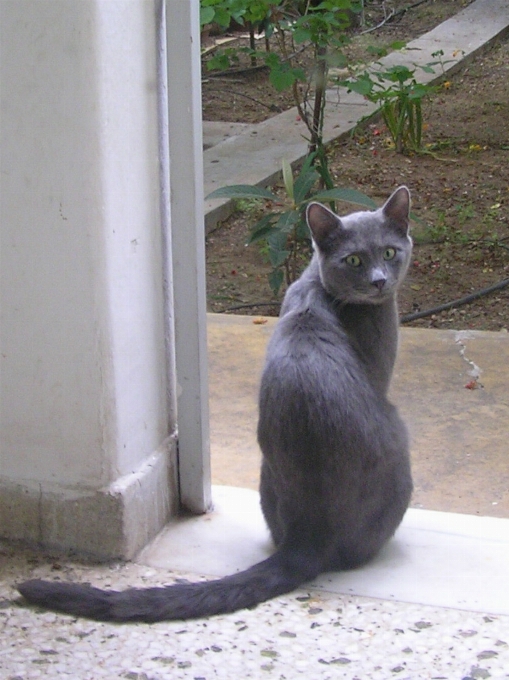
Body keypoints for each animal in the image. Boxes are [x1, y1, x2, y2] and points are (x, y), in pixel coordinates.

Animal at [17, 185, 412, 620]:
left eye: (389, 252)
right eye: (354, 260)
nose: (379, 281)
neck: (317, 287)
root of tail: (308, 537)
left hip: (265, 474)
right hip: (398, 446)